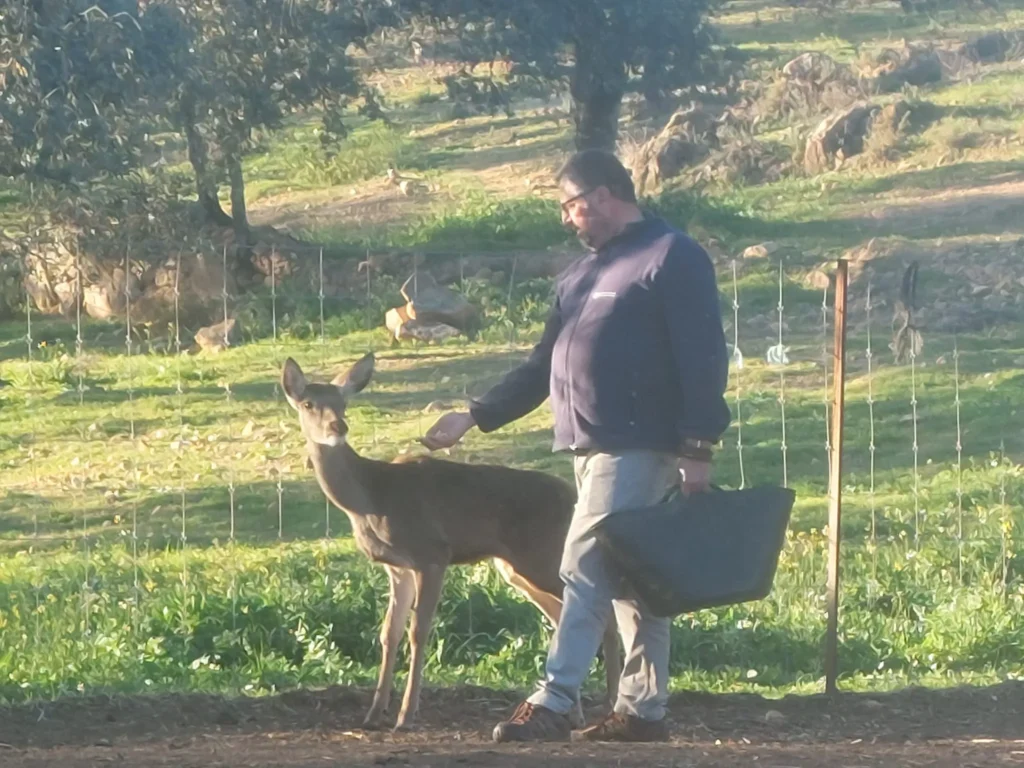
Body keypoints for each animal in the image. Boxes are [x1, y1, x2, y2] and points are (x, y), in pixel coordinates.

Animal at [280, 352, 622, 732]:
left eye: (343, 402)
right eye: (308, 403)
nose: (338, 427)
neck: (370, 497)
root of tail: (571, 496)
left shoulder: (432, 553)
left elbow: (418, 631)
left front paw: (406, 715)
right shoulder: (397, 567)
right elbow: (388, 632)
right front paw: (373, 713)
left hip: (543, 555)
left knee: (601, 612)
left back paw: (609, 704)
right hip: (516, 568)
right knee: (564, 615)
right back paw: (573, 712)